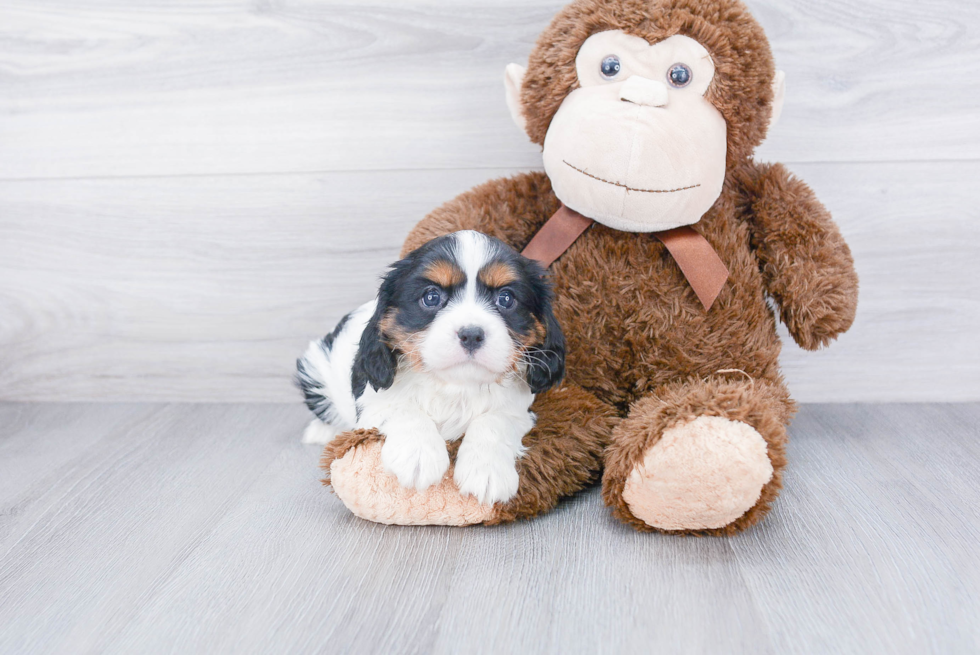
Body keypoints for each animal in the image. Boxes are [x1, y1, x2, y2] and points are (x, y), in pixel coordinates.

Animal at [294, 228, 564, 504]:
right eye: (431, 297)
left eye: (506, 299)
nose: (471, 334)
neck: (455, 385)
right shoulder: (373, 402)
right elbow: (403, 410)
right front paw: (418, 454)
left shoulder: (519, 412)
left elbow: (494, 421)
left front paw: (487, 471)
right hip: (314, 367)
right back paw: (320, 431)